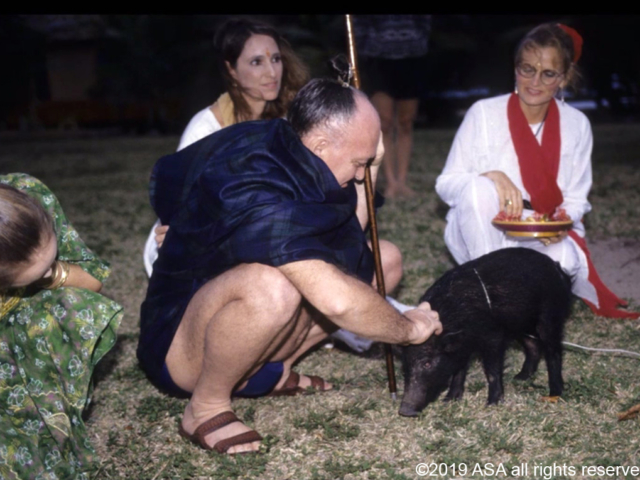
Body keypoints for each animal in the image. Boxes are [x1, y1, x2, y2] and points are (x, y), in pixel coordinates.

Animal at [400, 248, 576, 416]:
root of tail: (557, 268)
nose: (404, 411)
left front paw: (491, 404)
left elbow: (492, 370)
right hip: (519, 324)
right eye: (405, 364)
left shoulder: (493, 337)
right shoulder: (462, 347)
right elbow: (459, 370)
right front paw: (449, 400)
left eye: (427, 363)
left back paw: (554, 393)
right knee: (533, 344)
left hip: (550, 316)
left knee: (553, 352)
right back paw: (520, 378)